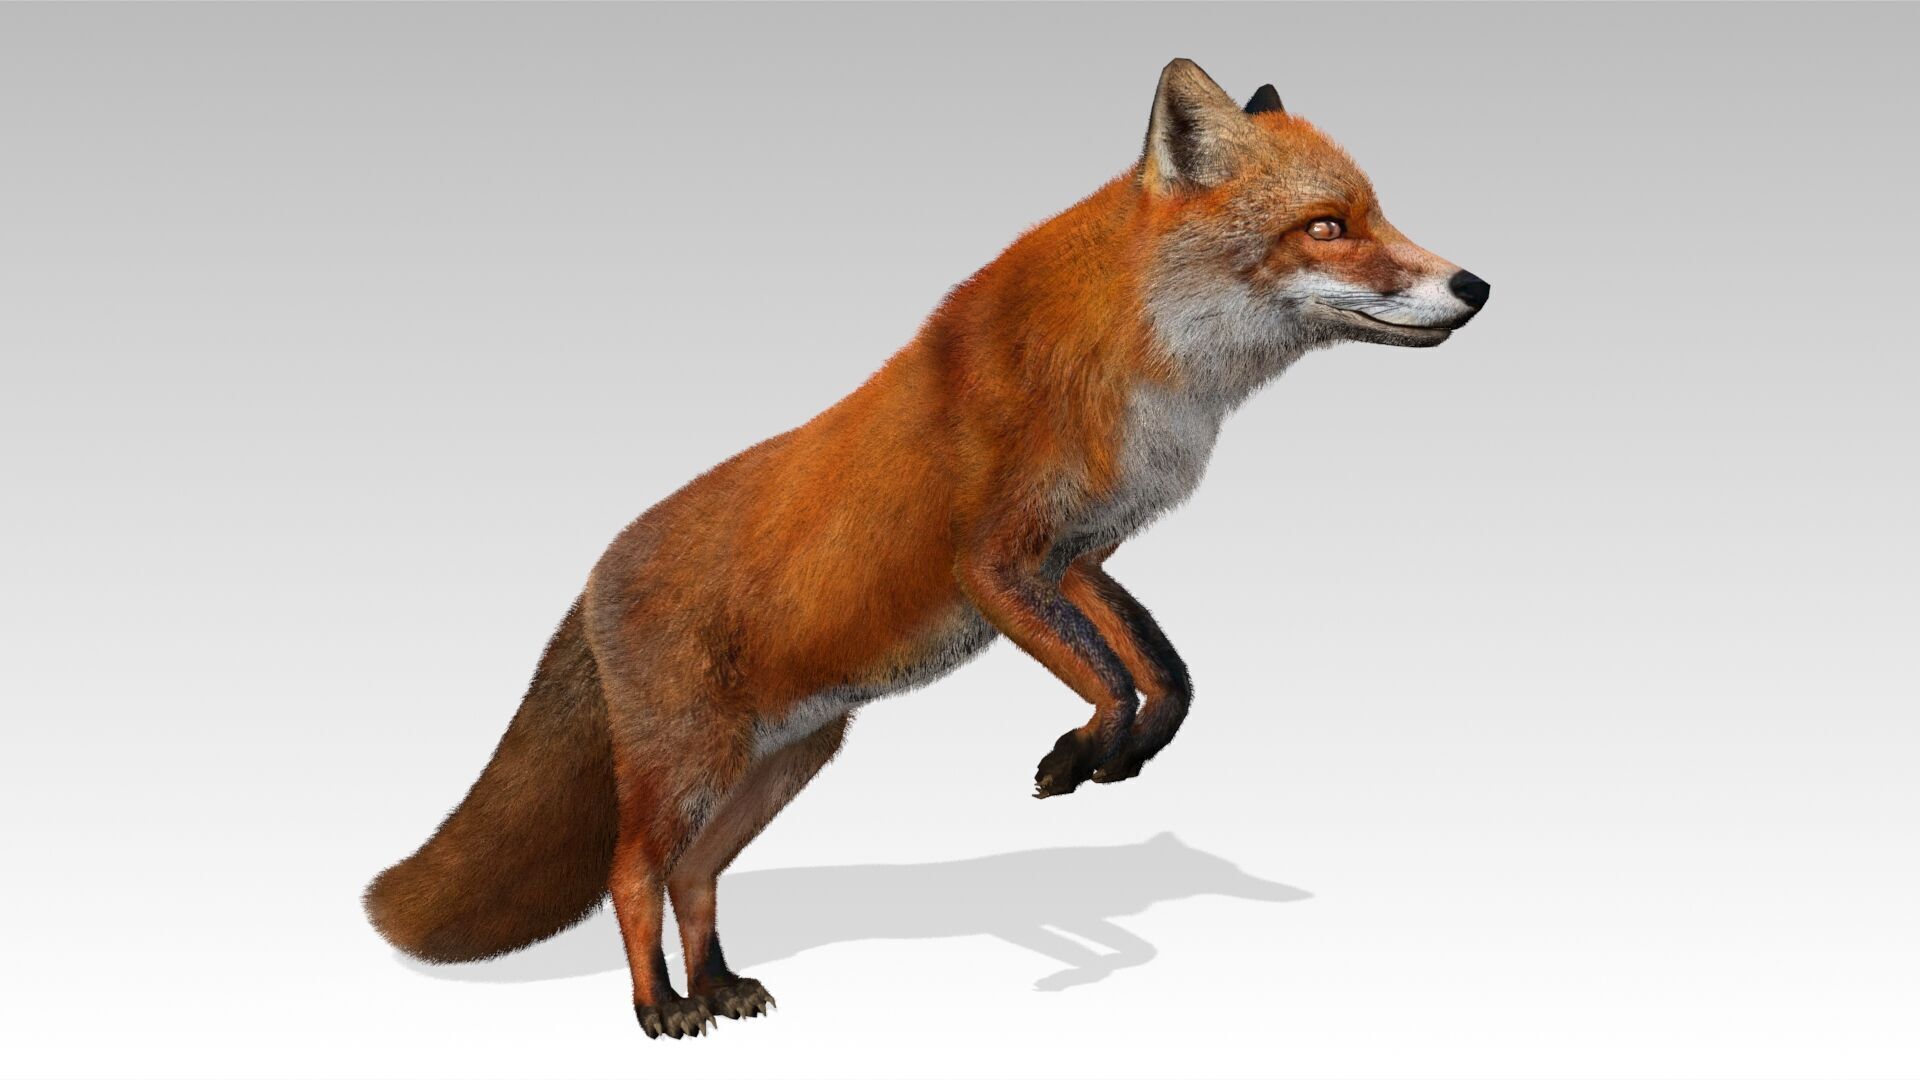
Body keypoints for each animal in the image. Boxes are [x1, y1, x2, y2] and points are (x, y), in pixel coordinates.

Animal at [366, 58, 1489, 1039]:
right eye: (1328, 226)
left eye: (1374, 215)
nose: (1473, 285)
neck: (1146, 365)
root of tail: (595, 570)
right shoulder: (994, 566)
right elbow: (1111, 679)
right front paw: (1081, 756)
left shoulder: (1077, 556)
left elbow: (1164, 677)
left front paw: (1116, 757)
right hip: (688, 768)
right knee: (629, 875)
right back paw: (661, 1008)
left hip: (783, 764)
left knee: (694, 877)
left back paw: (720, 984)